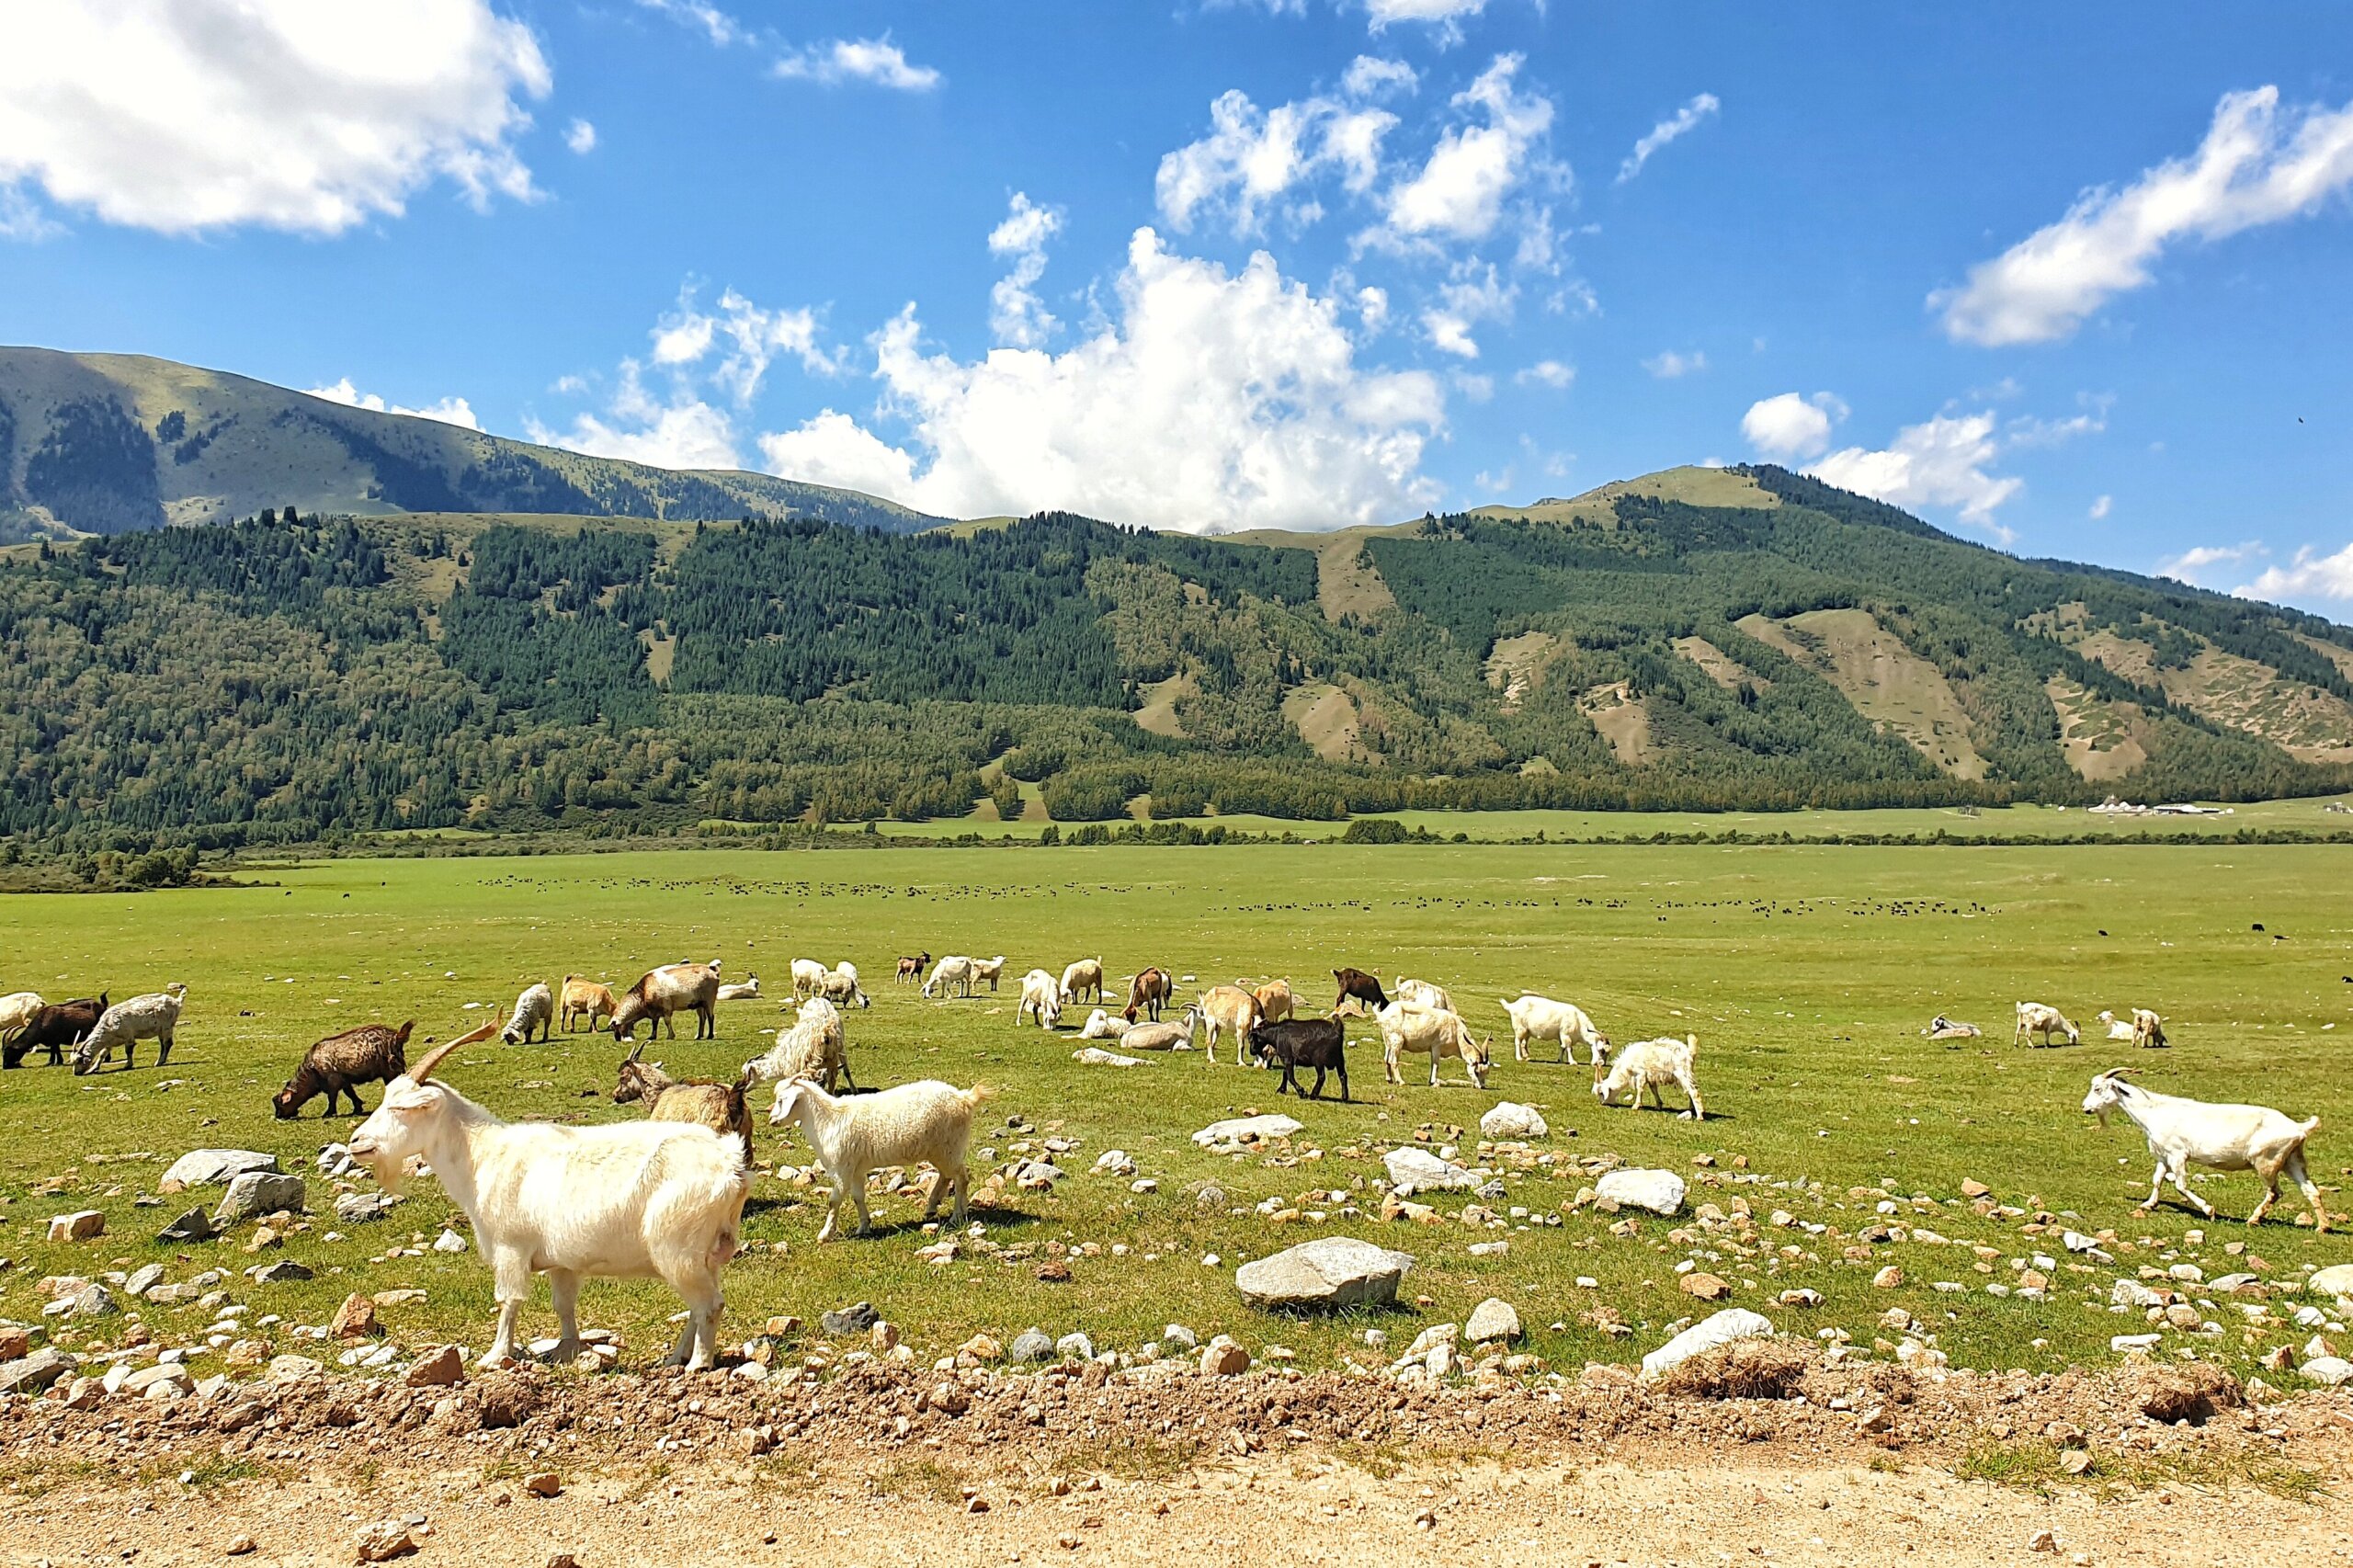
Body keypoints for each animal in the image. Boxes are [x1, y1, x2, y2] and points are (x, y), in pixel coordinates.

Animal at [278, 1021, 416, 1116]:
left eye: (280, 1105)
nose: (278, 1116)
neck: (313, 1071)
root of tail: (397, 1036)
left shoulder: (333, 1080)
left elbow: (332, 1097)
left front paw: (328, 1113)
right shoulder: (344, 1080)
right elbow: (350, 1093)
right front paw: (357, 1108)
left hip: (390, 1071)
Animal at [346, 1007, 753, 1365]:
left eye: (401, 1108)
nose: (356, 1142)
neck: (484, 1156)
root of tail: (731, 1165)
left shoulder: (510, 1248)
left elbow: (508, 1301)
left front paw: (494, 1357)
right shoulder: (562, 1262)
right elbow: (564, 1305)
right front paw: (567, 1350)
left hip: (676, 1250)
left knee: (709, 1305)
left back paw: (697, 1364)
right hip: (704, 1255)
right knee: (698, 1307)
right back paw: (674, 1358)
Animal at [767, 1068, 988, 1243]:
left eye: (781, 1100)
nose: (772, 1121)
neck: (828, 1118)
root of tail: (964, 1098)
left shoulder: (842, 1168)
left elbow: (834, 1200)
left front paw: (825, 1234)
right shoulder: (856, 1169)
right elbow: (858, 1197)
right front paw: (864, 1226)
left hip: (950, 1147)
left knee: (961, 1178)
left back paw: (957, 1215)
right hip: (941, 1150)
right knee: (948, 1175)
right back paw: (933, 1207)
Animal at [2089, 1068, 2325, 1224]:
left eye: (2098, 1088)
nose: (2086, 1108)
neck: (2154, 1111)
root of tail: (2299, 1128)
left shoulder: (2177, 1155)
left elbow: (2180, 1185)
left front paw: (2208, 1210)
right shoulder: (2164, 1155)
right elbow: (2157, 1180)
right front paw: (2149, 1204)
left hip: (2266, 1161)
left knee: (2275, 1192)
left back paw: (2253, 1219)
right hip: (2292, 1160)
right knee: (2311, 1191)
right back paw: (2323, 1227)